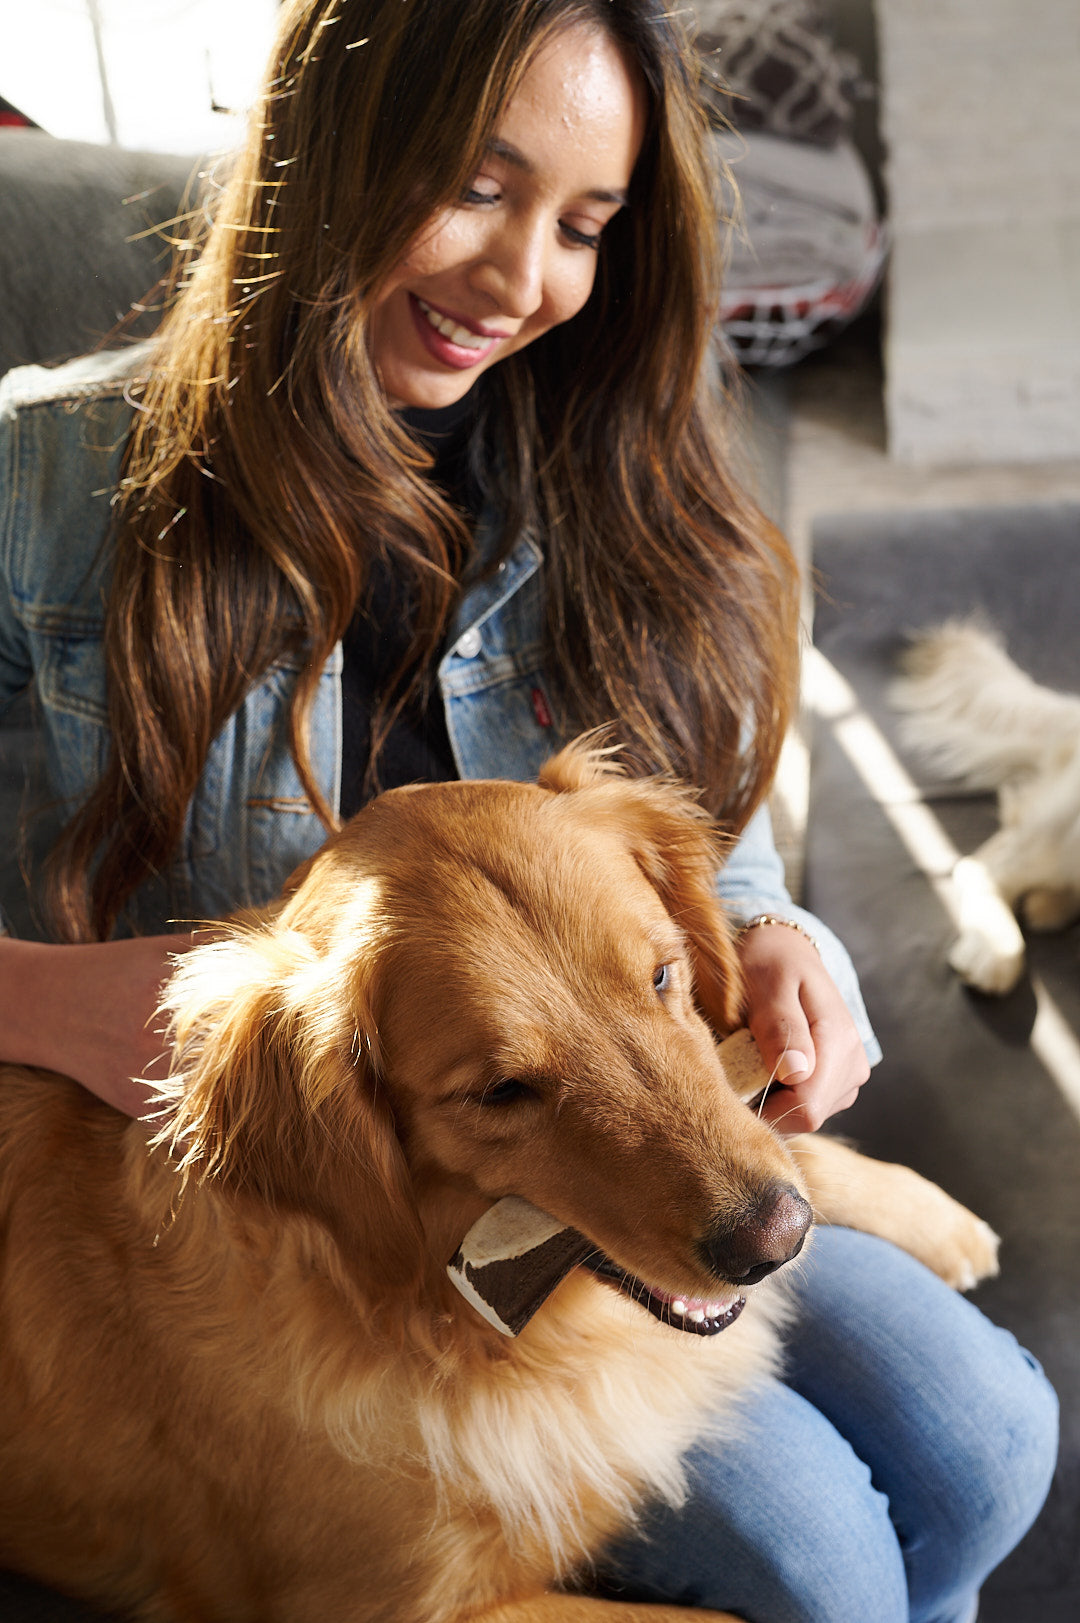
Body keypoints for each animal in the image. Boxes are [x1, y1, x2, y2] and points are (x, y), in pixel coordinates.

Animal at [0, 743, 1000, 1616]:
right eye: (498, 1090)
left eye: (663, 974)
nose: (774, 1241)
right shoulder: (376, 1607)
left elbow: (778, 1128)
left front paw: (933, 1215)